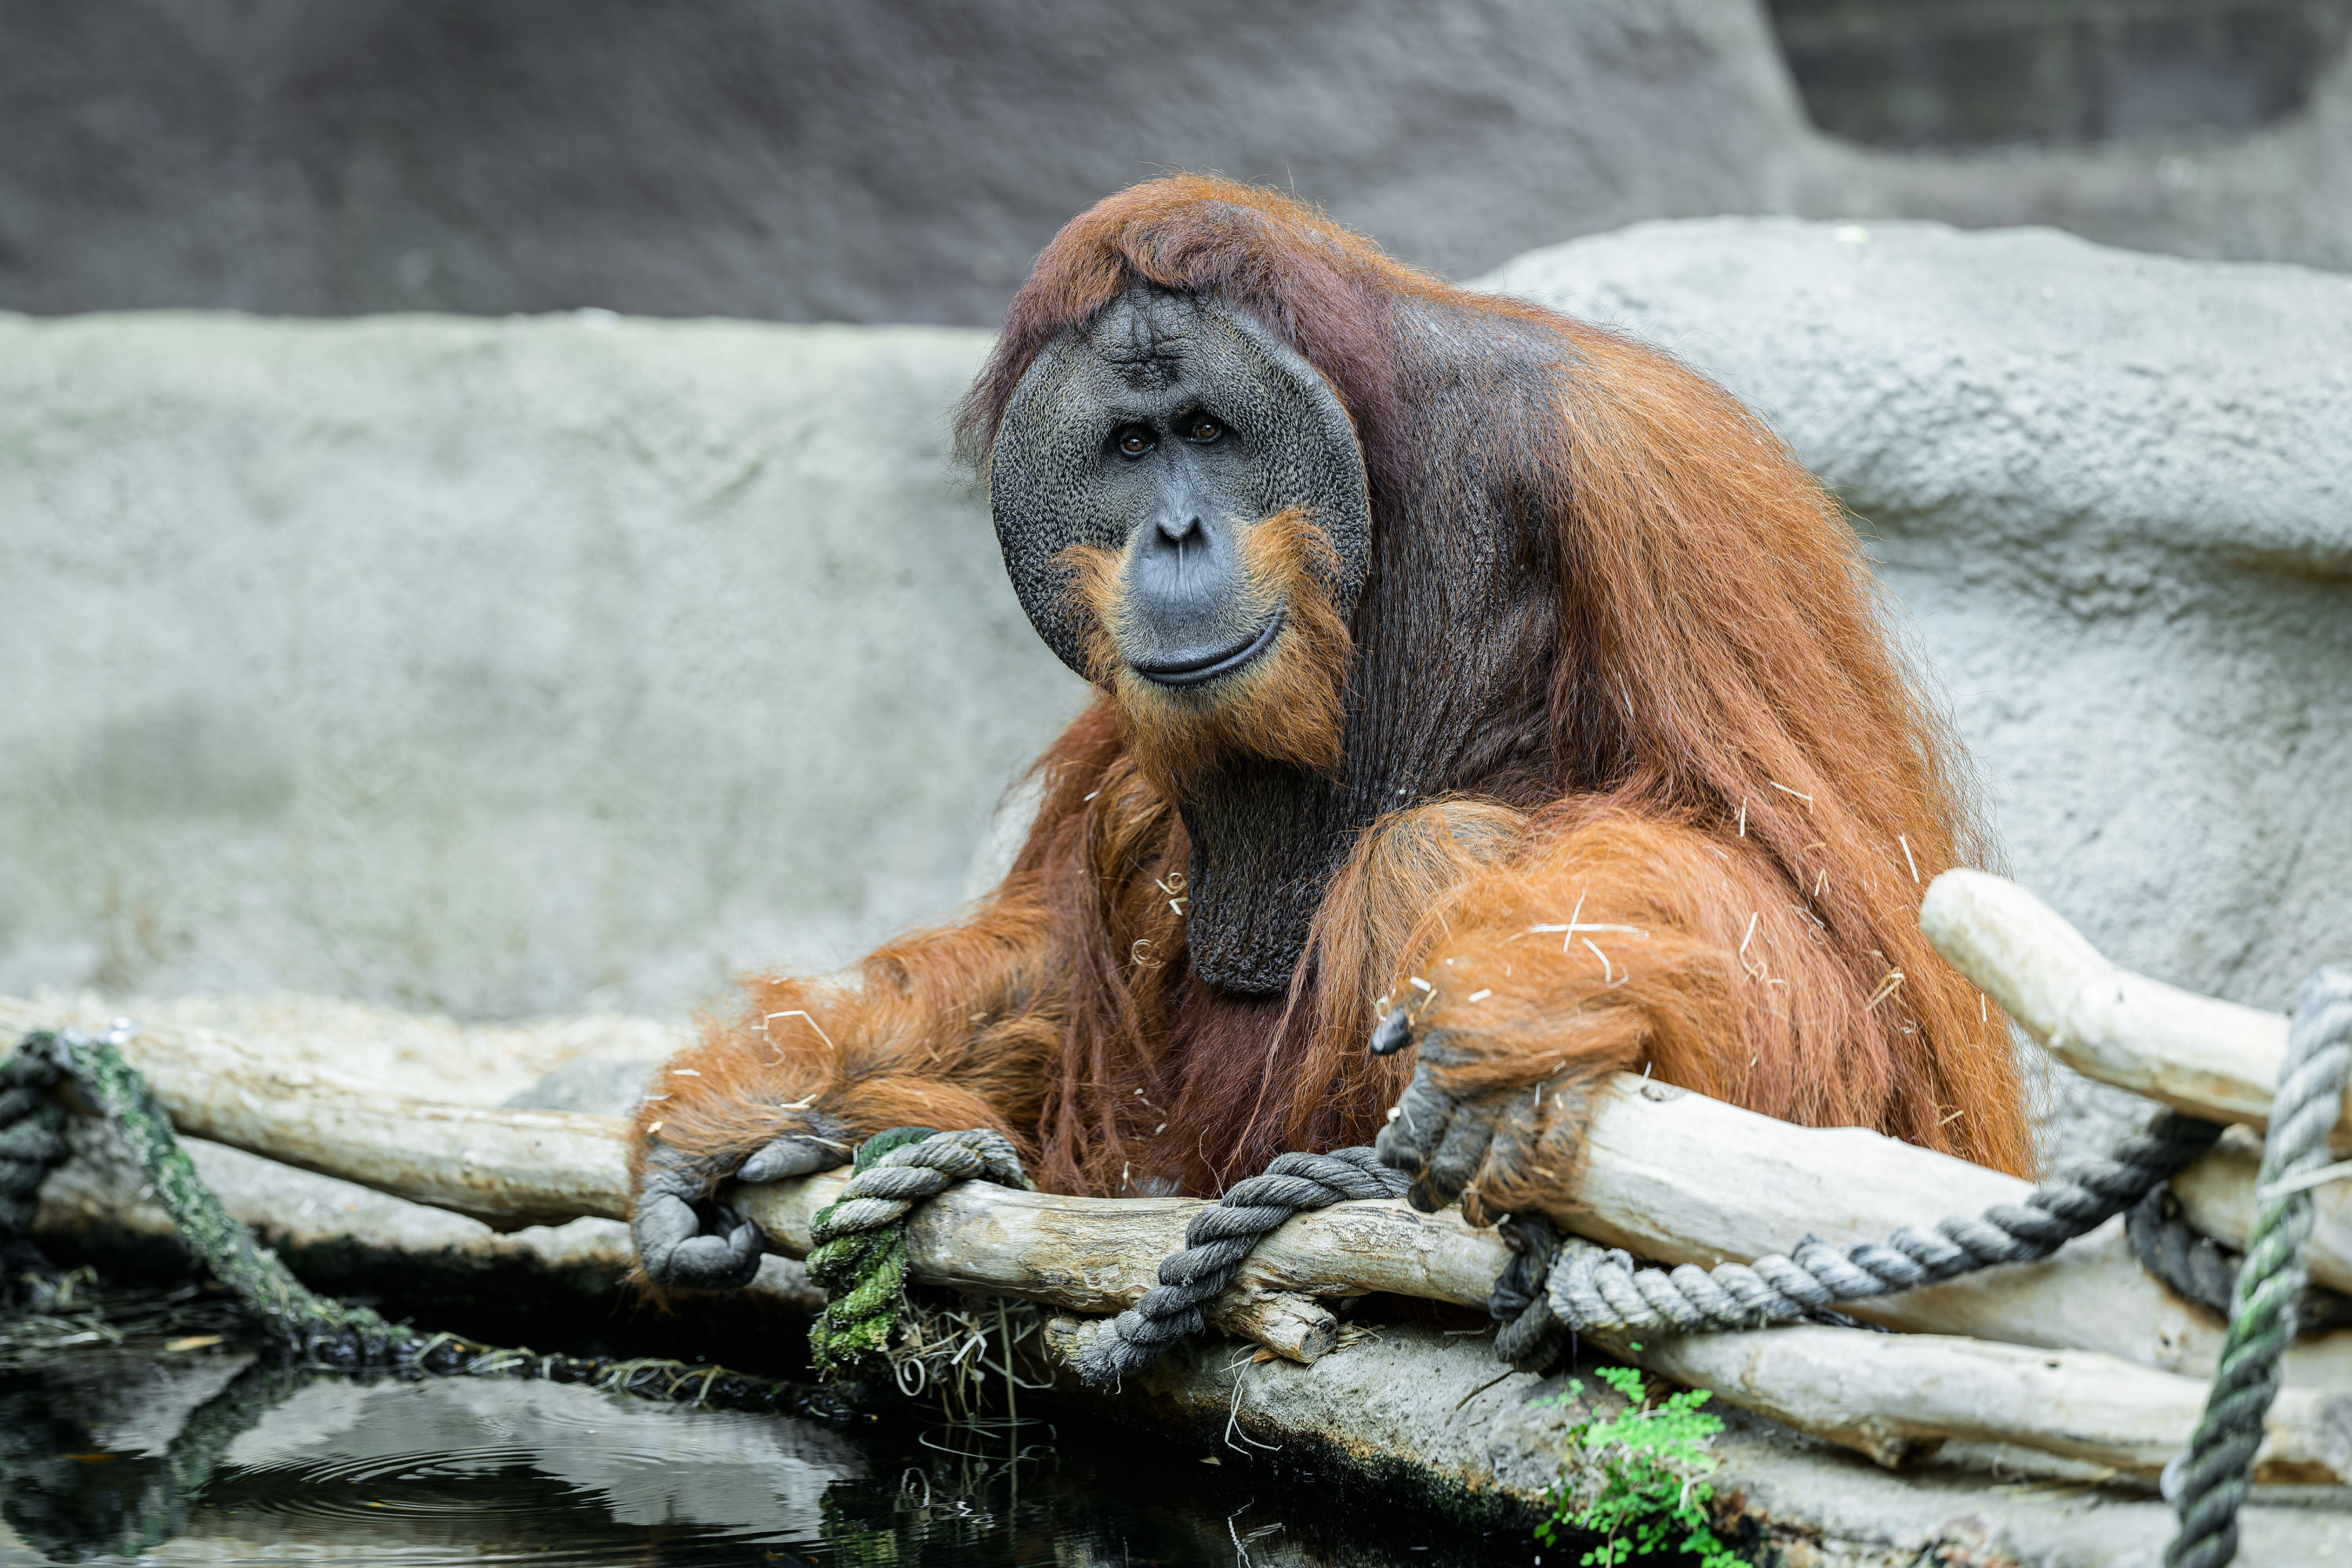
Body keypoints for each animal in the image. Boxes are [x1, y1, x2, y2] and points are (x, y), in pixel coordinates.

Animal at [628, 176, 2029, 1290]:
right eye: (1128, 446)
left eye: (1210, 431)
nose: (1175, 534)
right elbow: (1062, 941)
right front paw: (749, 1102)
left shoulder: (1650, 478)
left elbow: (1846, 957)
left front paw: (1530, 994)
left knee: (1432, 844)